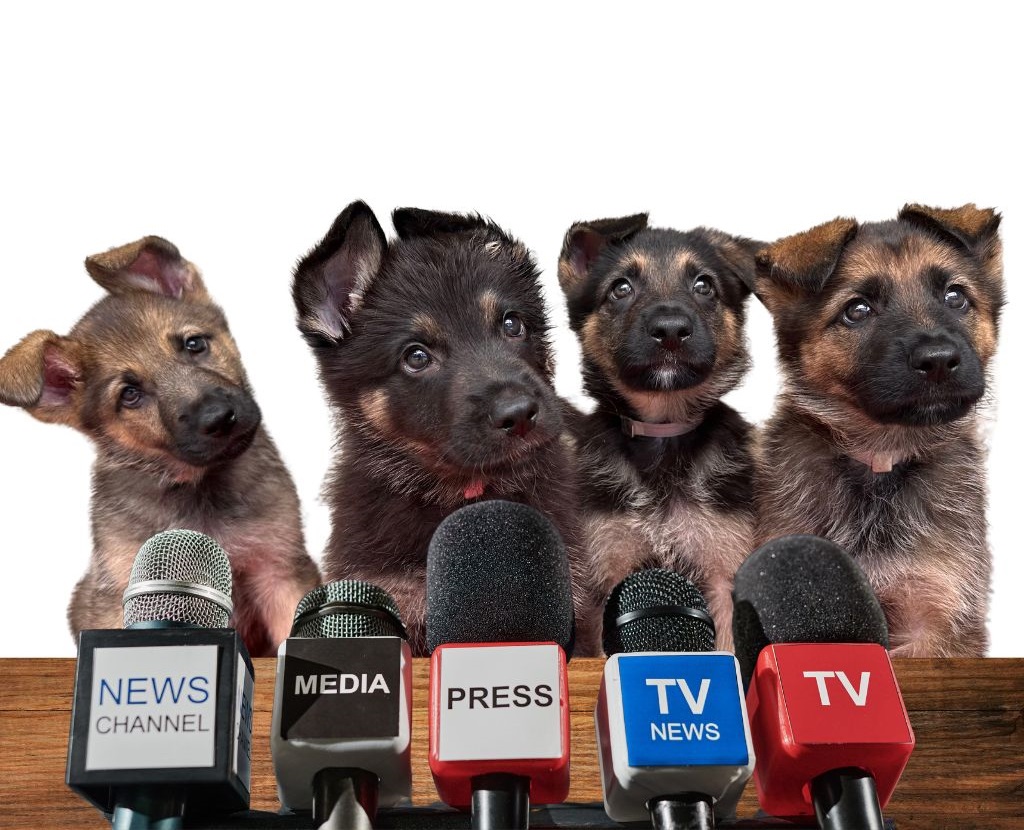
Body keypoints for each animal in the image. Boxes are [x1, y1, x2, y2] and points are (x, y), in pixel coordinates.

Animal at [557, 212, 765, 650]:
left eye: (704, 286)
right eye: (620, 288)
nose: (670, 330)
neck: (663, 433)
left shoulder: (722, 578)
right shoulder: (602, 582)